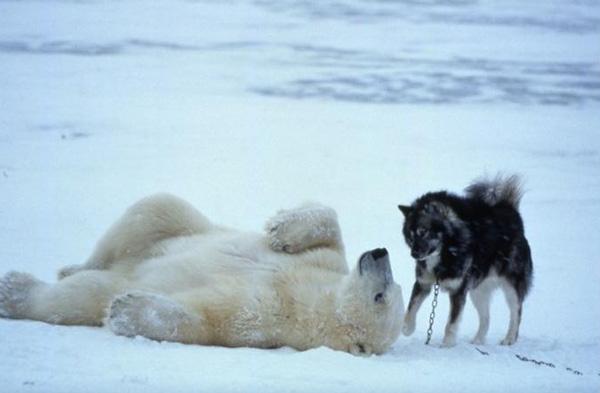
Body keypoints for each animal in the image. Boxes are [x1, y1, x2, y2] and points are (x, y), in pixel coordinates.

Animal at [0, 194, 406, 356]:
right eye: (393, 287)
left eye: (382, 295)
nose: (380, 253)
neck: (315, 297)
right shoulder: (326, 264)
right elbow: (330, 227)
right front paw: (281, 228)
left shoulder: (270, 315)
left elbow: (208, 317)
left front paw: (127, 310)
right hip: (168, 229)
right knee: (154, 210)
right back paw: (71, 266)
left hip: (113, 279)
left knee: (79, 296)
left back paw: (14, 290)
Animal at [400, 175, 532, 346]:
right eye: (410, 236)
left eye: (423, 232)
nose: (414, 254)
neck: (444, 255)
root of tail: (510, 211)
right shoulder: (423, 283)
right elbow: (411, 308)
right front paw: (406, 328)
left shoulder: (458, 291)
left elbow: (451, 324)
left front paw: (447, 345)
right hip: (478, 291)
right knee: (486, 318)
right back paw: (477, 341)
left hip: (511, 287)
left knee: (516, 313)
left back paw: (509, 339)